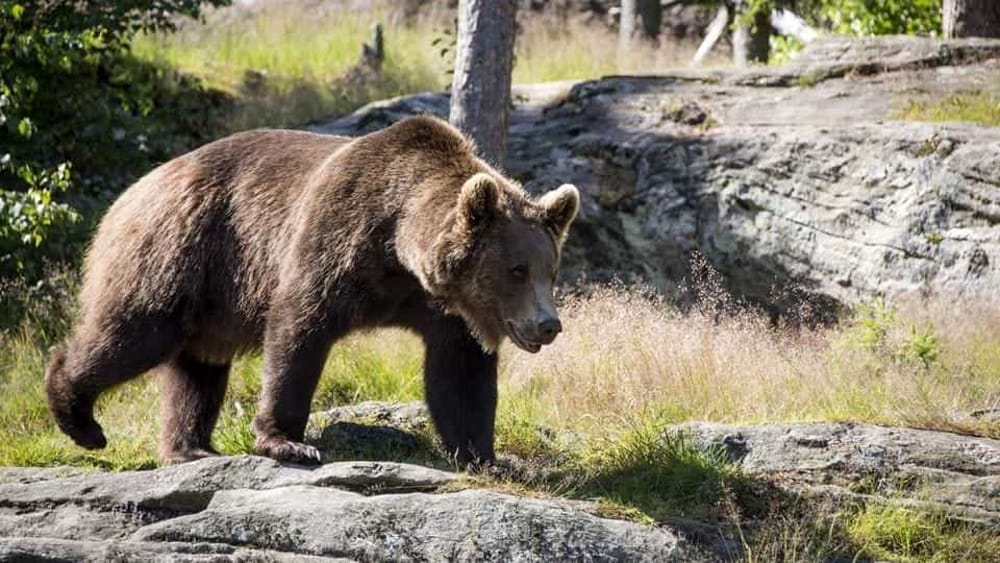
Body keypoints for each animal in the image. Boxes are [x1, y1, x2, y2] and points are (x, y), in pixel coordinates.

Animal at [45, 115, 580, 468]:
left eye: (550, 269)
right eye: (517, 269)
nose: (548, 325)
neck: (397, 246)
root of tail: (135, 187)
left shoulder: (442, 307)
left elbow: (460, 374)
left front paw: (486, 456)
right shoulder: (335, 239)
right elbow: (299, 330)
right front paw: (288, 441)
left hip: (210, 297)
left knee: (198, 367)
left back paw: (190, 446)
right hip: (179, 250)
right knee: (135, 331)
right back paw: (80, 417)